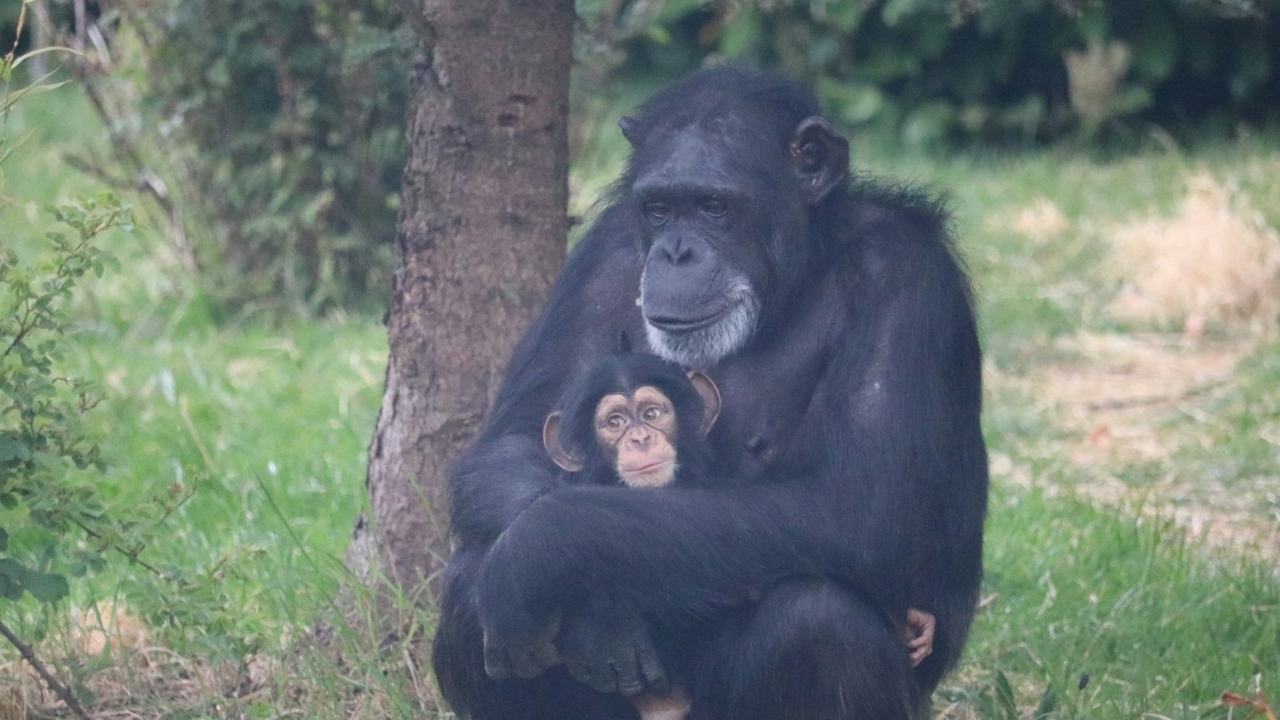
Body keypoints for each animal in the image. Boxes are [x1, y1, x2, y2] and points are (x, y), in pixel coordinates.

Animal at [430, 67, 988, 717]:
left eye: (715, 207)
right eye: (660, 208)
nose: (676, 251)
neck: (794, 278)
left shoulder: (903, 274)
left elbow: (861, 505)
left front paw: (539, 551)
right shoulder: (606, 249)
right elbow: (512, 445)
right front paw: (600, 616)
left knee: (816, 621)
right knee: (468, 586)